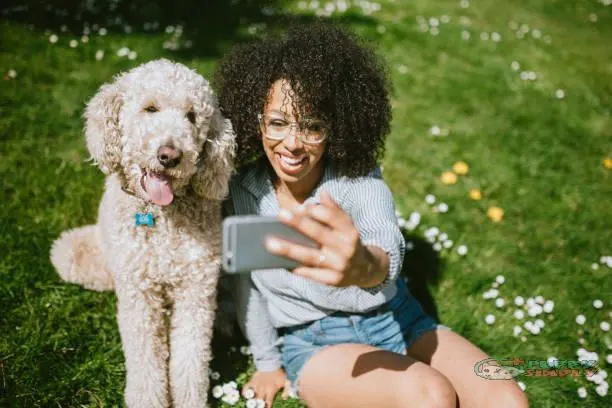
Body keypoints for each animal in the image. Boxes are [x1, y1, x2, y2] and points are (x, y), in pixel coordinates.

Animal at [50, 58, 235, 408]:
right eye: (150, 108)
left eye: (192, 116)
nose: (170, 156)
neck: (162, 216)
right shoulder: (140, 294)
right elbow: (146, 362)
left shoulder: (196, 290)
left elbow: (191, 360)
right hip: (71, 252)